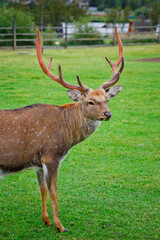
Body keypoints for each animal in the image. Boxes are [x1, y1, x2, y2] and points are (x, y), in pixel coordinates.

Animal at [0, 26, 124, 232]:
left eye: (107, 99)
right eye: (90, 101)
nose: (108, 114)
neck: (67, 137)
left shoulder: (37, 161)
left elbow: (42, 189)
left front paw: (46, 220)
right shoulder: (51, 155)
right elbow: (54, 191)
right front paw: (60, 226)